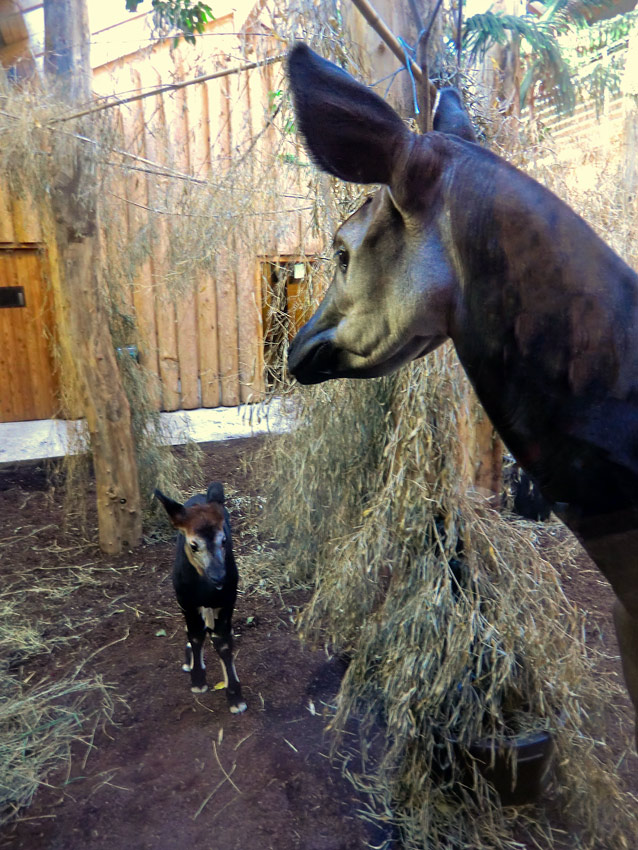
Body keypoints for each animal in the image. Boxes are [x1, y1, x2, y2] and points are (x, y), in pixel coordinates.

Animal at [155, 480, 248, 712]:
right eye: (194, 544)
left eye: (224, 540)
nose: (219, 577)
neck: (205, 590)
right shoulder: (186, 602)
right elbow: (196, 635)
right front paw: (198, 680)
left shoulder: (226, 602)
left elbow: (222, 641)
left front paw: (235, 696)